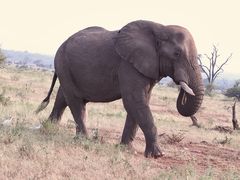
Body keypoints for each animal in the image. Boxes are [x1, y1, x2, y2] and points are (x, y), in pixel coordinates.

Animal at [37, 20, 204, 158]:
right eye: (177, 53)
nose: (182, 86)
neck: (161, 28)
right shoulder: (128, 64)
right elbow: (134, 102)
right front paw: (157, 155)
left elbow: (139, 103)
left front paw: (126, 149)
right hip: (62, 63)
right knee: (76, 101)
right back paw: (83, 140)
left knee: (63, 97)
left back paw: (47, 129)